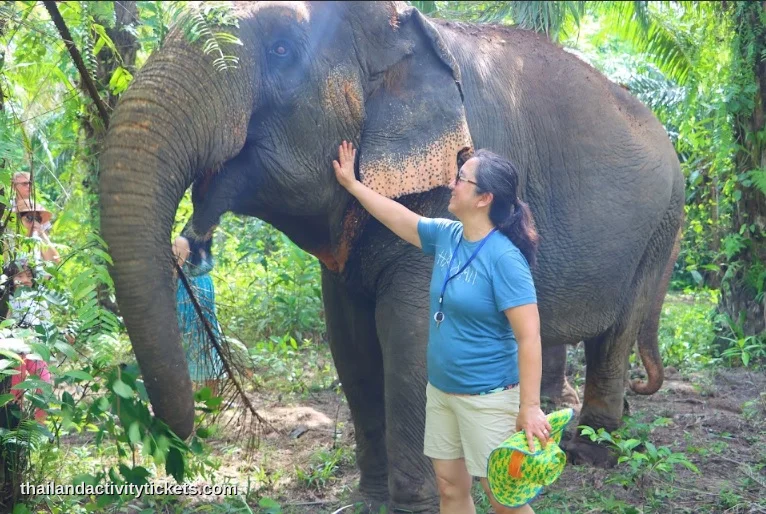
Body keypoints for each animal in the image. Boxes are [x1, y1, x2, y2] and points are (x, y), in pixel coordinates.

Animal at [99, 2, 684, 512]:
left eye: (283, 49)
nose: (183, 438)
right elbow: (350, 342)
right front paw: (374, 497)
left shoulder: (439, 189)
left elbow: (410, 337)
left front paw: (415, 503)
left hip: (659, 230)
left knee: (617, 333)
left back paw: (590, 451)